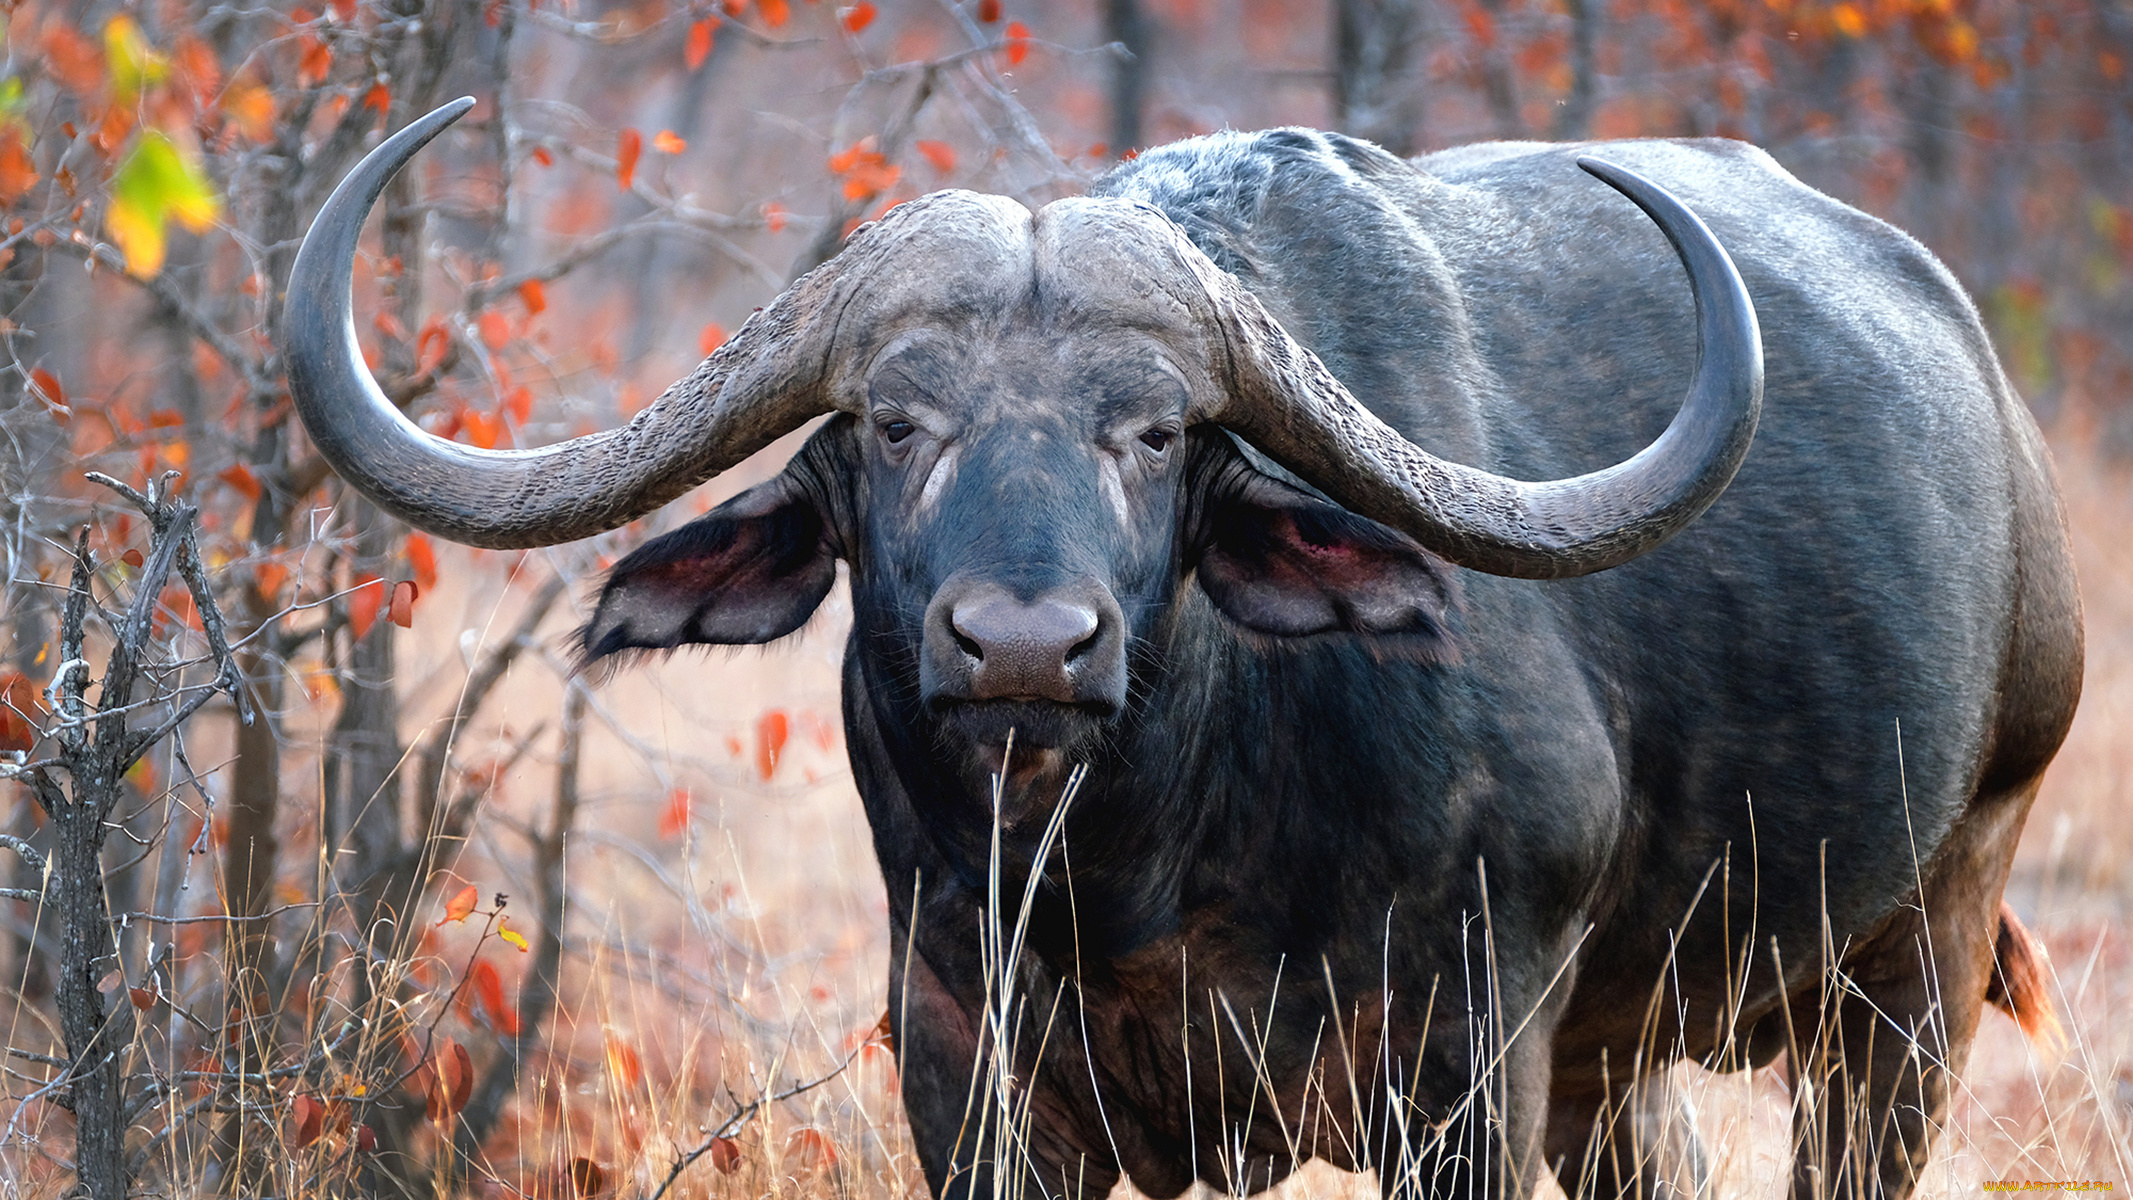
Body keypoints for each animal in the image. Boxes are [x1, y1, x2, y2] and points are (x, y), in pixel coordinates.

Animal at [285, 99, 2080, 1200]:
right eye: (893, 424)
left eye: (1152, 433)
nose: (1023, 645)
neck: (1134, 869)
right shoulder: (968, 1072)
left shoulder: (1461, 1073)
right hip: (1622, 1055)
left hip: (1920, 959)